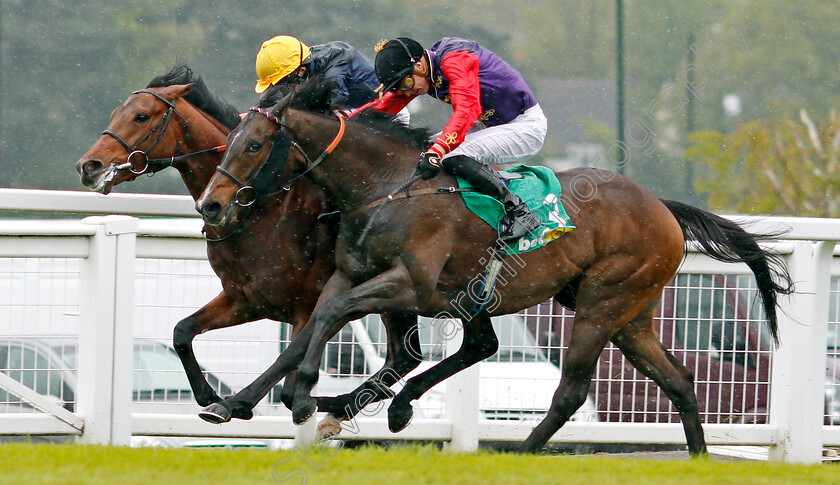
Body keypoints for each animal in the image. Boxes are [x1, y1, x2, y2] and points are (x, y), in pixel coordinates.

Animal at [74, 65, 424, 424]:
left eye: (141, 116)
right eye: (115, 113)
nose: (89, 166)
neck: (259, 210)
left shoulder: (305, 305)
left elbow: (288, 386)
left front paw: (241, 402)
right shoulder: (245, 299)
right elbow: (182, 332)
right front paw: (210, 395)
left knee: (403, 354)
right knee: (404, 355)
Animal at [194, 76, 792, 454]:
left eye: (253, 145)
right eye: (233, 140)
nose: (211, 205)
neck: (387, 188)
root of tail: (662, 208)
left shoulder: (412, 286)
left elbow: (331, 317)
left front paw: (301, 396)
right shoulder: (352, 273)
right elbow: (313, 324)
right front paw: (238, 402)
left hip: (603, 304)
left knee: (570, 391)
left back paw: (516, 453)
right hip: (631, 316)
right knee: (681, 381)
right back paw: (698, 458)